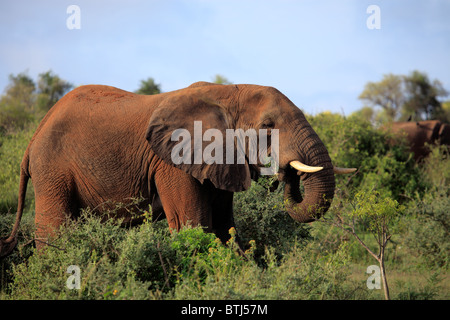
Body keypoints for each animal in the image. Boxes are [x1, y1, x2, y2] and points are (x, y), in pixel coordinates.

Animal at [0, 82, 356, 258]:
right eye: (268, 126)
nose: (285, 176)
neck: (228, 92)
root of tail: (33, 137)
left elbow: (224, 228)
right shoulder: (172, 163)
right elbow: (192, 225)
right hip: (52, 169)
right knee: (54, 232)